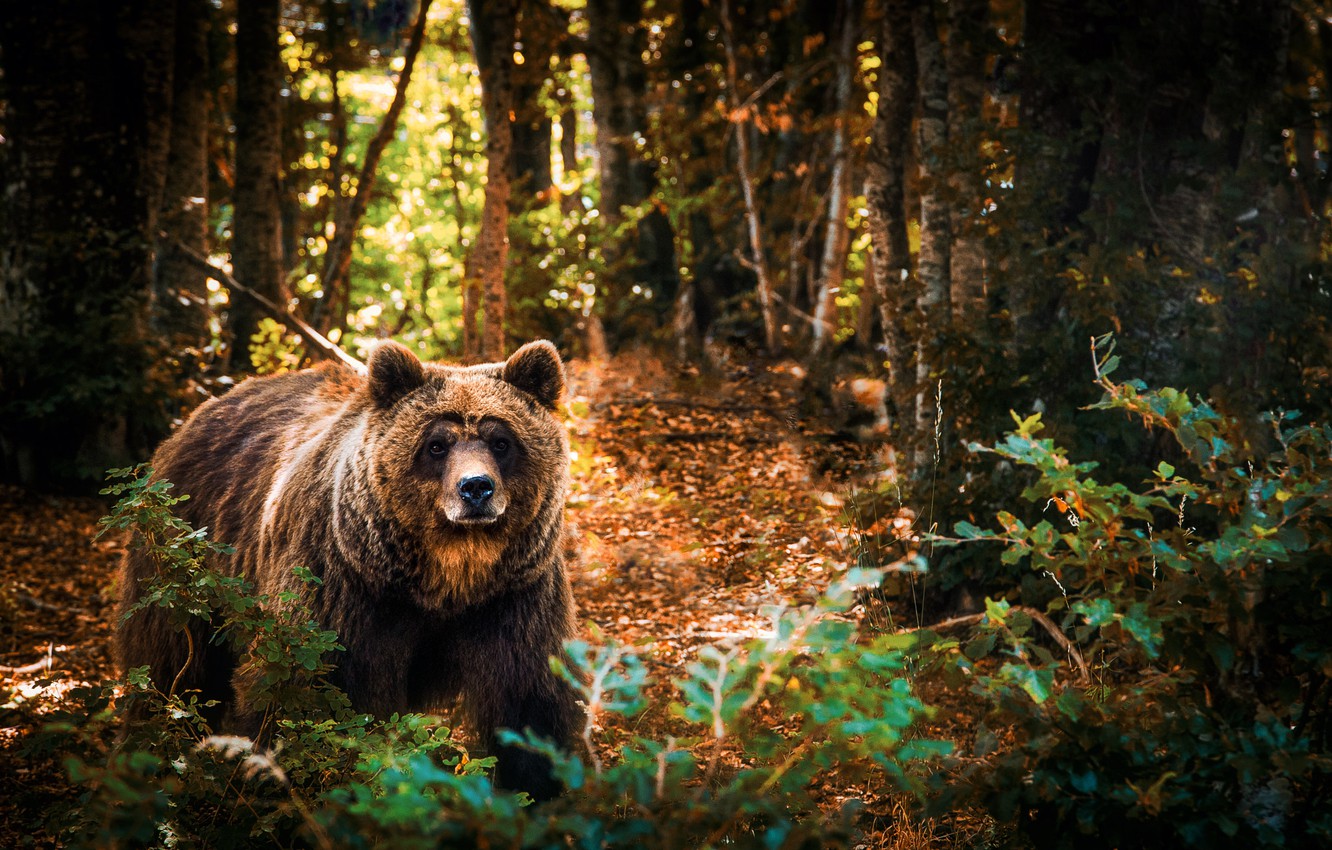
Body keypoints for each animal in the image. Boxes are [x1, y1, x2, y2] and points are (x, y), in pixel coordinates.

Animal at [116, 339, 581, 801]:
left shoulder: (515, 595)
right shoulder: (342, 589)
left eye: (501, 441)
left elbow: (531, 703)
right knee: (169, 662)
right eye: (437, 444)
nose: (476, 488)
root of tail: (203, 410)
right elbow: (303, 692)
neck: (446, 578)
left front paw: (542, 788)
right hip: (185, 555)